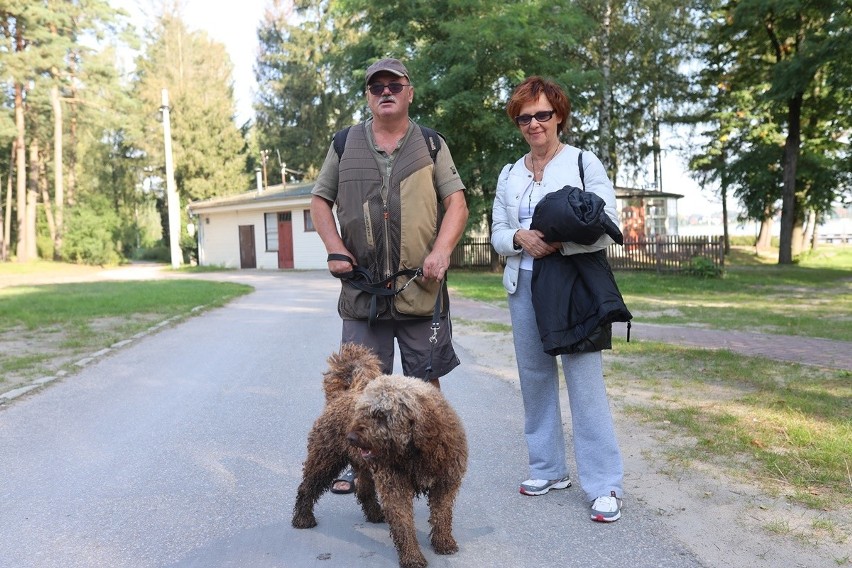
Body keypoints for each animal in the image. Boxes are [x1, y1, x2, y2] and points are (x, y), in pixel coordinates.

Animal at [292, 342, 466, 568]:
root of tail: (341, 396)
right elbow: (403, 524)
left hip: (363, 465)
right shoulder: (396, 485)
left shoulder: (445, 483)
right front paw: (412, 556)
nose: (351, 437)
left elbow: (442, 516)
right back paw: (302, 518)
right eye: (362, 411)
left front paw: (444, 542)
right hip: (325, 458)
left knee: (364, 491)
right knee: (307, 487)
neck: (417, 451)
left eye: (381, 415)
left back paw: (374, 513)